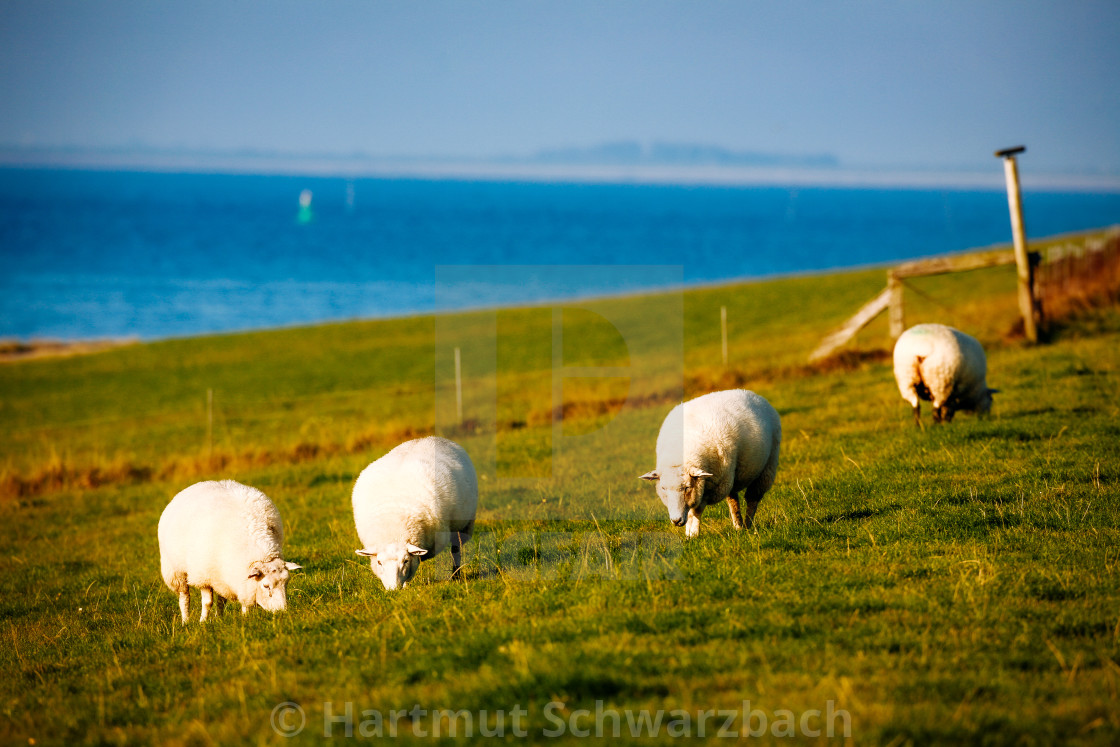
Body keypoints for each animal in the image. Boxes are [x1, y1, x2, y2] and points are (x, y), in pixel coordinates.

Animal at [157, 479, 300, 627]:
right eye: (266, 586)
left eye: (286, 583)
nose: (282, 612)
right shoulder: (203, 575)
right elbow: (207, 602)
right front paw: (203, 622)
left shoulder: (236, 578)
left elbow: (228, 601)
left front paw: (243, 617)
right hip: (175, 570)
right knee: (184, 596)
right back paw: (185, 621)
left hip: (220, 576)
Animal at [351, 439, 479, 591]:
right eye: (379, 562)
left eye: (405, 561)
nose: (393, 589)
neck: (393, 525)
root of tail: (431, 438)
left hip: (465, 524)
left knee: (456, 549)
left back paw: (455, 575)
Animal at [645, 389, 784, 539]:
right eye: (663, 488)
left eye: (687, 487)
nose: (676, 520)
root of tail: (752, 394)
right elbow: (690, 511)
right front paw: (688, 534)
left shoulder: (707, 488)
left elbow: (695, 511)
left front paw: (693, 534)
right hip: (731, 477)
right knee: (733, 500)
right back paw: (738, 526)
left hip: (767, 467)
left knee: (752, 498)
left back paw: (748, 526)